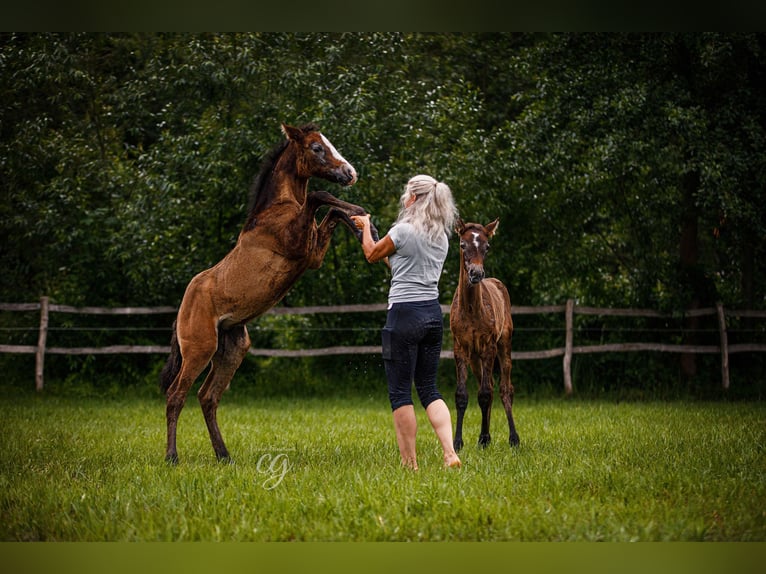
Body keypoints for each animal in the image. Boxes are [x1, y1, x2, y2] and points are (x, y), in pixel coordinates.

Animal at [161, 124, 378, 466]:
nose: (350, 173)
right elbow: (319, 197)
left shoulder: (313, 255)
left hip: (232, 349)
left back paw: (224, 455)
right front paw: (360, 215)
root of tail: (182, 309)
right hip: (199, 349)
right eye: (317, 148)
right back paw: (172, 457)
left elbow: (331, 212)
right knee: (176, 395)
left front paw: (364, 227)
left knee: (207, 397)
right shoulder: (298, 244)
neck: (275, 210)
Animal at [450, 218, 520, 452]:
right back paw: (487, 437)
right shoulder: (460, 348)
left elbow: (486, 393)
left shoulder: (489, 347)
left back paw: (513, 439)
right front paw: (458, 442)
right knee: (487, 386)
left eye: (487, 247)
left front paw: (483, 438)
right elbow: (463, 395)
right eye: (462, 245)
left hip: (504, 345)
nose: (476, 274)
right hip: (475, 358)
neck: (471, 309)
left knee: (505, 389)